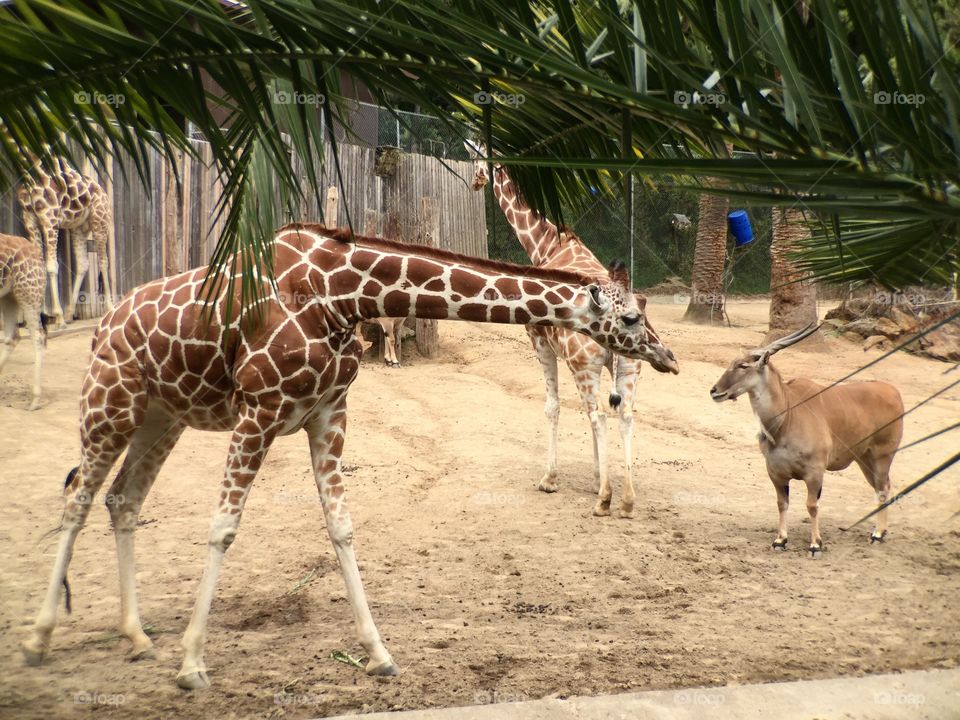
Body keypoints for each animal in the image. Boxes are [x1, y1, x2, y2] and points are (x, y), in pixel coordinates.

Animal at [18, 158, 115, 330]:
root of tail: (103, 192)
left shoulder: (50, 218)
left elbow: (51, 266)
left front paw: (58, 317)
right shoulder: (29, 219)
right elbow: (37, 266)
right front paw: (39, 318)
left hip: (100, 221)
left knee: (103, 261)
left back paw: (109, 308)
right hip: (78, 228)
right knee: (83, 263)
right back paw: (70, 313)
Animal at [22, 222, 668, 688]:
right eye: (632, 315)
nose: (668, 357)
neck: (341, 293)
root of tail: (103, 324)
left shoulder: (329, 411)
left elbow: (342, 527)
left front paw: (379, 654)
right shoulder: (259, 411)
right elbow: (224, 527)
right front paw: (192, 665)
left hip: (163, 417)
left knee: (123, 499)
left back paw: (136, 637)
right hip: (109, 405)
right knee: (77, 501)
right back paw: (38, 640)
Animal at [466, 143, 680, 516]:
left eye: (474, 156)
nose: (475, 183)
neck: (546, 244)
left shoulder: (539, 341)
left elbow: (552, 406)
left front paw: (550, 480)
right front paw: (596, 477)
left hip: (585, 365)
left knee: (599, 415)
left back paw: (605, 500)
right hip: (629, 365)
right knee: (624, 414)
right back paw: (626, 499)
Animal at [708, 324, 904, 556]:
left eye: (743, 365)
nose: (714, 391)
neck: (786, 418)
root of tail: (894, 392)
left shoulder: (814, 473)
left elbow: (812, 506)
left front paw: (815, 544)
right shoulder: (776, 474)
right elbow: (782, 503)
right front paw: (780, 540)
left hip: (882, 456)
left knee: (882, 488)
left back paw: (877, 534)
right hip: (864, 459)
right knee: (882, 486)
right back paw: (880, 531)